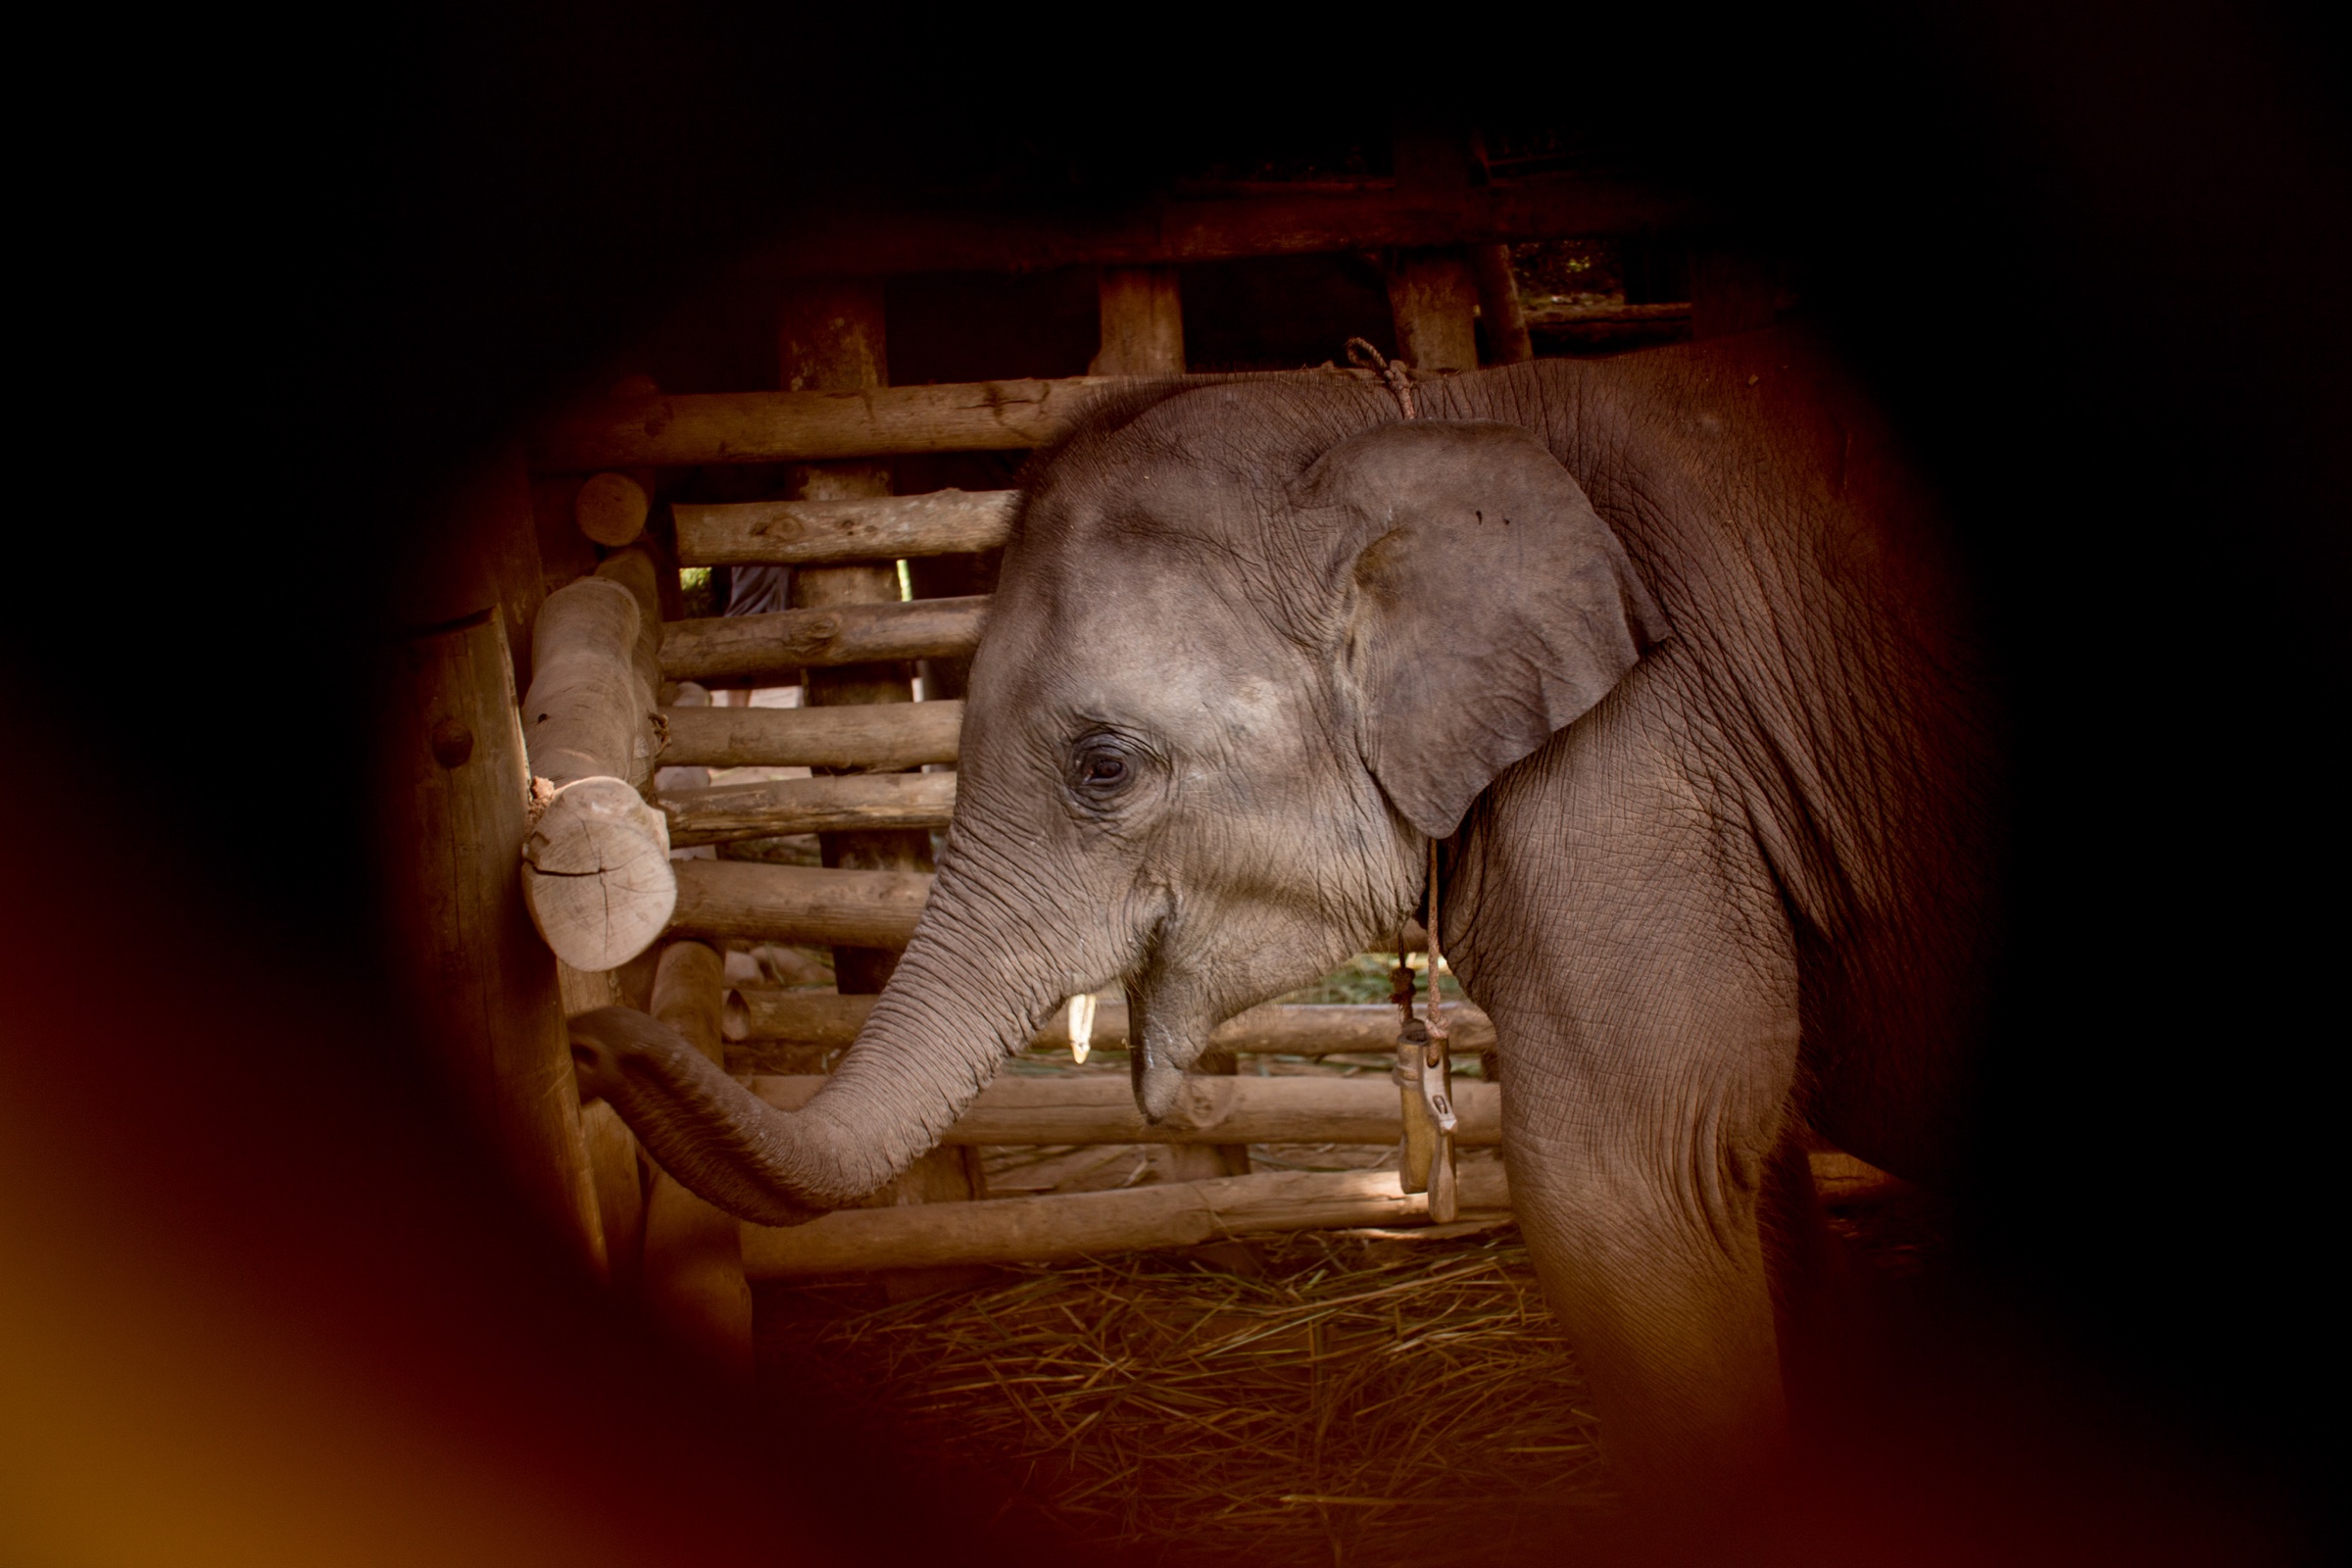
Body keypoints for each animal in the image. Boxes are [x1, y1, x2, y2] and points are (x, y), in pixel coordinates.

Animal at [570, 327, 1997, 1508]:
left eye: (1102, 766)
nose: (592, 1040)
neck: (1424, 416)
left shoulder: (1632, 767)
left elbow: (1637, 1178)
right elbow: (1744, 1168)